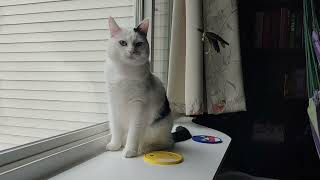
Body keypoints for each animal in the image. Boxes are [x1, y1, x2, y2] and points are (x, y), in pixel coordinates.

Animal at [104, 16, 175, 158]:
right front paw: (115, 145)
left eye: (138, 44)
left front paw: (130, 150)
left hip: (159, 127)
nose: (132, 51)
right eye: (123, 43)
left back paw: (144, 148)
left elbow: (134, 132)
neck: (124, 73)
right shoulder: (113, 104)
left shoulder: (138, 105)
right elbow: (115, 127)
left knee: (167, 143)